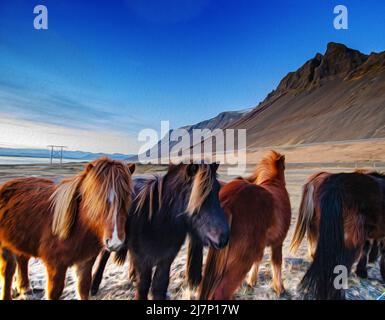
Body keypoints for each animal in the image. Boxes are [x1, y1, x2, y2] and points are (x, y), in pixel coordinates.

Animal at [0, 158, 135, 300]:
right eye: (96, 198)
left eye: (126, 198)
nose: (115, 241)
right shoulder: (55, 266)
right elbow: (55, 292)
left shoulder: (86, 262)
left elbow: (83, 289)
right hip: (5, 246)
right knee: (8, 270)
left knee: (22, 259)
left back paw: (25, 289)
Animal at [91, 162, 228, 300]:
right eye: (197, 195)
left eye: (217, 189)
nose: (224, 237)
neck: (155, 222)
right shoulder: (143, 261)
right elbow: (143, 286)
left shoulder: (166, 260)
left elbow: (159, 286)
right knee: (103, 256)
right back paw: (94, 286)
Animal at [198, 151, 292, 300]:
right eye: (284, 166)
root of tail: (229, 201)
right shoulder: (278, 243)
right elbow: (277, 264)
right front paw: (280, 289)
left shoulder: (260, 246)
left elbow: (258, 261)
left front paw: (251, 282)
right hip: (241, 259)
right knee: (222, 291)